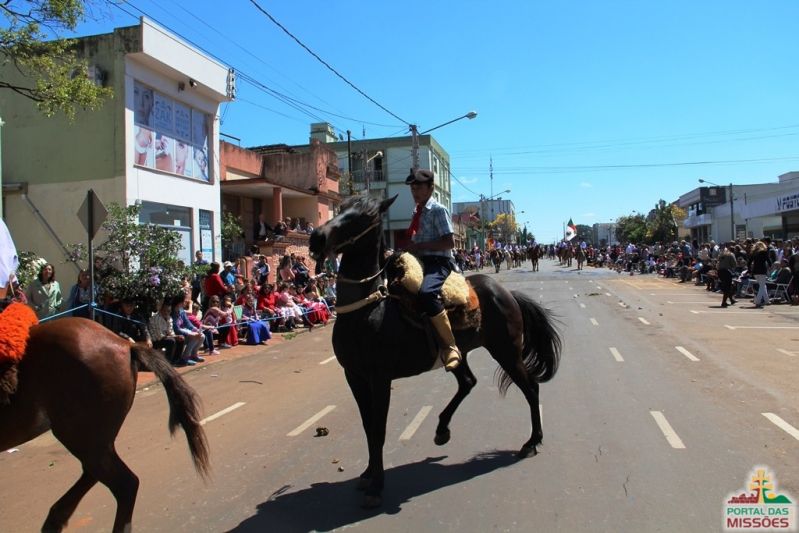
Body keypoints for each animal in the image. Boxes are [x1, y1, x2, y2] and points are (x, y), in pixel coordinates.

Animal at [0, 316, 209, 532]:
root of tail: (125, 345)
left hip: (80, 434)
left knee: (124, 483)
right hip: (92, 437)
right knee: (95, 473)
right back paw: (55, 520)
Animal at [309, 195, 561, 508]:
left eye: (365, 216)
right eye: (341, 207)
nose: (317, 237)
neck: (368, 308)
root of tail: (506, 293)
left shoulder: (380, 378)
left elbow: (378, 430)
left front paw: (377, 486)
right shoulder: (354, 376)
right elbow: (368, 427)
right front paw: (368, 474)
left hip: (507, 352)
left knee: (531, 389)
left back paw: (532, 442)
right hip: (460, 353)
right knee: (468, 382)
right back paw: (442, 430)